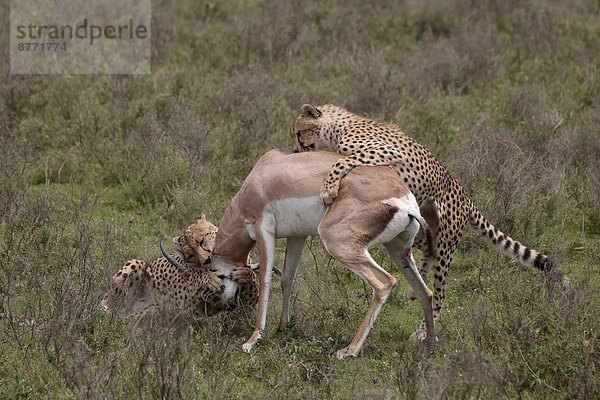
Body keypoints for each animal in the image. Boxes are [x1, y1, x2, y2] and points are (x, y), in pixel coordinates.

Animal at [101, 216, 260, 318]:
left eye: (200, 240)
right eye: (191, 255)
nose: (206, 260)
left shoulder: (248, 306)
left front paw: (245, 274)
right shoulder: (185, 302)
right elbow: (194, 281)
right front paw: (207, 278)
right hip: (137, 264)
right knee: (109, 309)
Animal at [292, 103, 568, 338]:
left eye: (297, 132)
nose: (296, 150)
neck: (338, 127)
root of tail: (466, 196)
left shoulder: (386, 151)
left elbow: (342, 161)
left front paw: (328, 189)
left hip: (447, 240)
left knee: (440, 292)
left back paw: (423, 331)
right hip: (417, 224)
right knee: (428, 250)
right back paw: (420, 277)